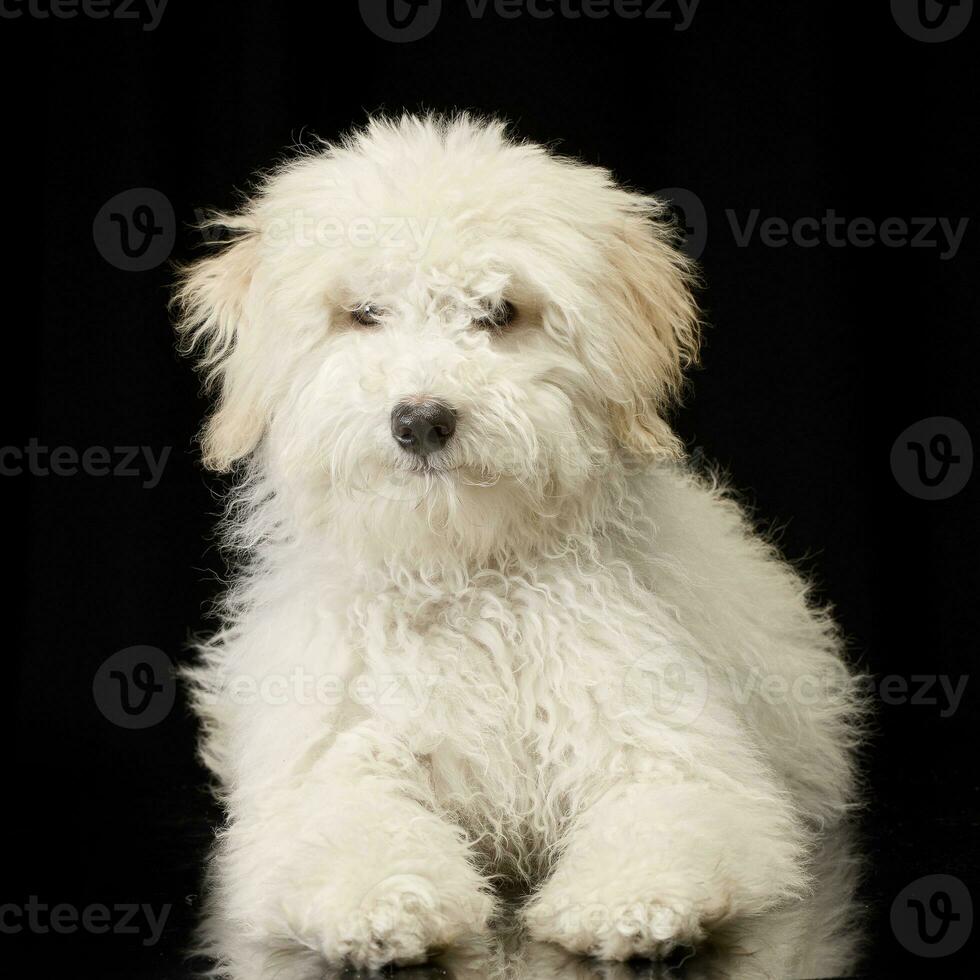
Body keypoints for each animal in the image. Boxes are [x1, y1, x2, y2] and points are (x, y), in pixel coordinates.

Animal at [176, 117, 864, 980]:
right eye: (363, 313)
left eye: (499, 311)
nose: (421, 419)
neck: (469, 580)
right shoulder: (326, 768)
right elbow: (352, 828)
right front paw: (384, 904)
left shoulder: (678, 758)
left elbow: (670, 815)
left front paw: (630, 903)